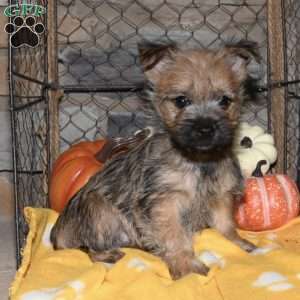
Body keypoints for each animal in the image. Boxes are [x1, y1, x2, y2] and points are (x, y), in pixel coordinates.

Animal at [51, 39, 260, 278]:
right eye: (181, 101)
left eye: (225, 101)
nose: (205, 128)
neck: (198, 161)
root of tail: (59, 231)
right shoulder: (165, 202)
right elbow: (175, 235)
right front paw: (187, 266)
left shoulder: (221, 196)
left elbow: (225, 226)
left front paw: (239, 244)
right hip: (98, 208)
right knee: (91, 250)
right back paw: (112, 255)